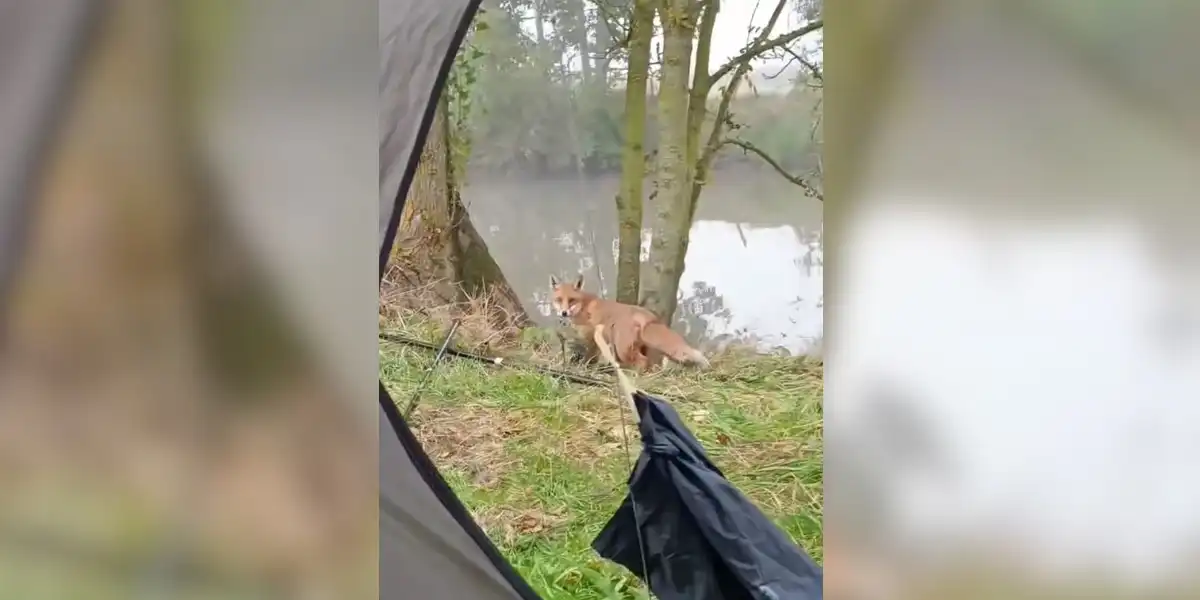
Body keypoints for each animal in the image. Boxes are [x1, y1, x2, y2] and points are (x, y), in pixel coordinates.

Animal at [549, 274, 705, 369]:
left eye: (571, 300)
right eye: (559, 300)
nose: (564, 313)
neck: (583, 306)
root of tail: (646, 313)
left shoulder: (592, 338)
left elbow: (589, 358)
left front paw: (585, 368)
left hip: (622, 348)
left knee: (642, 362)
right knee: (648, 364)